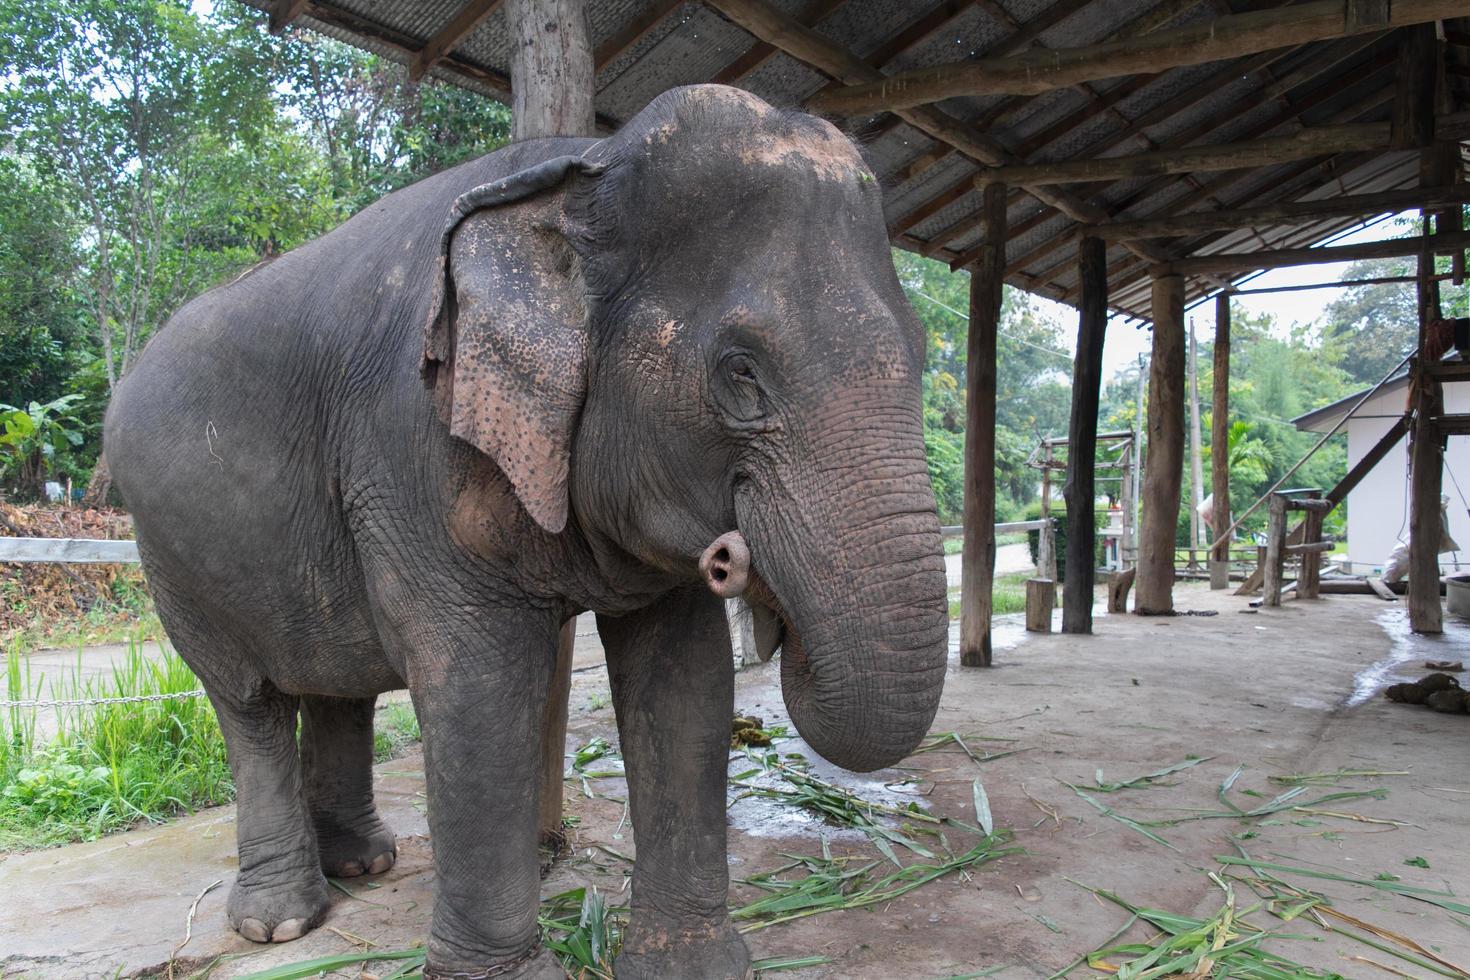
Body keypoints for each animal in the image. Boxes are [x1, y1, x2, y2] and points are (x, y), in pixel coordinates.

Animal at [106, 84, 952, 980]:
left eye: (923, 350)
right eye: (740, 372)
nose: (743, 570)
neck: (583, 167)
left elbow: (685, 680)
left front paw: (689, 967)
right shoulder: (413, 446)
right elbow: (477, 684)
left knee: (342, 684)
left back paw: (366, 865)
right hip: (170, 557)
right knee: (249, 702)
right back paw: (280, 925)